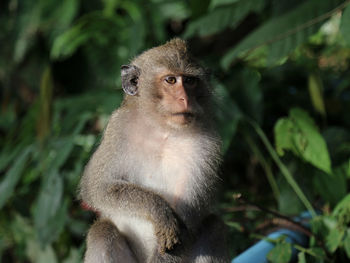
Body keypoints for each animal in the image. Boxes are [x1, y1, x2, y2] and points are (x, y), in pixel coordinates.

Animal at [79, 38, 230, 262]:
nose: (185, 99)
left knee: (215, 226)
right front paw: (159, 211)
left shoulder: (208, 145)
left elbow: (184, 229)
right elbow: (97, 186)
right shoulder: (118, 128)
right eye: (170, 80)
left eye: (190, 81)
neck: (163, 131)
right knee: (102, 231)